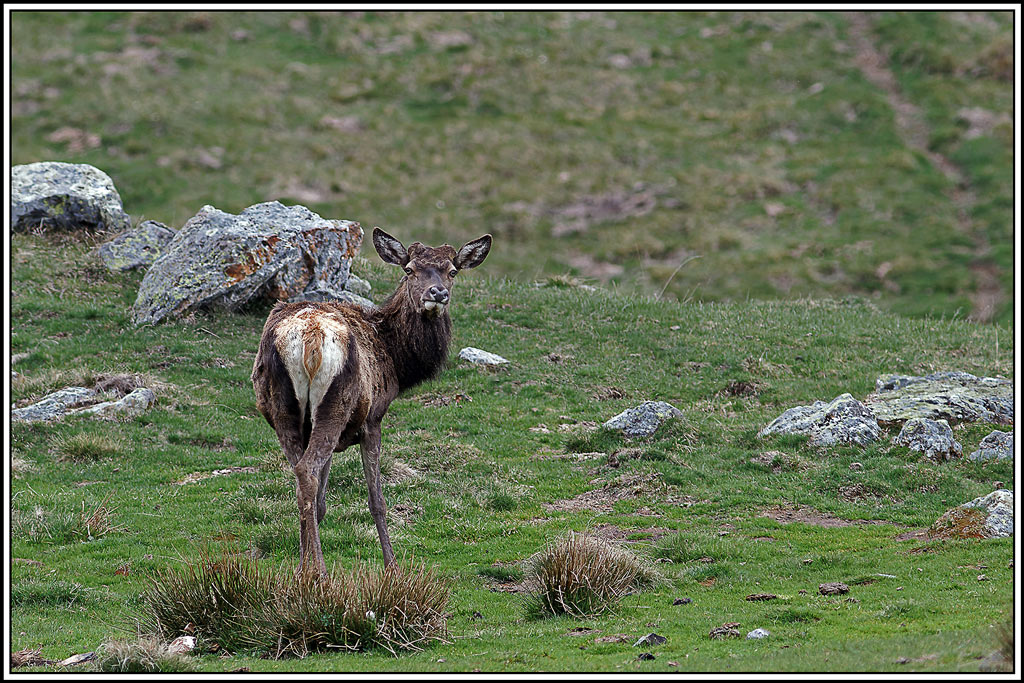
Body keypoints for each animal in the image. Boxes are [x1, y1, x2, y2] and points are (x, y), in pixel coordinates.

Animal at [251, 228, 492, 574]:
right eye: (409, 270)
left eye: (452, 271)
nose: (437, 293)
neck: (396, 359)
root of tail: (310, 335)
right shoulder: (373, 419)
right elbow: (376, 500)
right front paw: (392, 567)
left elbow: (322, 503)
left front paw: (301, 565)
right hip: (336, 403)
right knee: (308, 471)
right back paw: (320, 571)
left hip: (283, 408)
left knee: (300, 475)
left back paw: (305, 570)